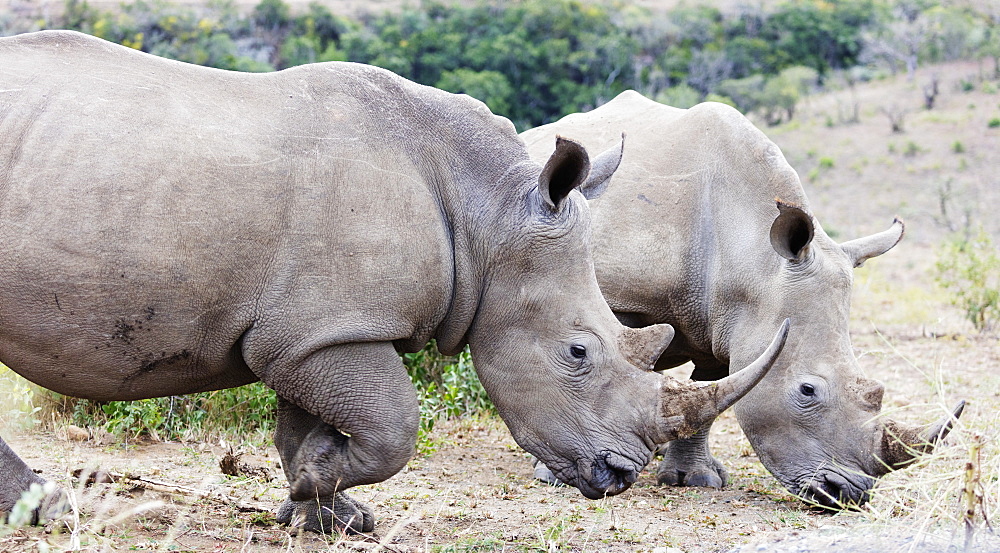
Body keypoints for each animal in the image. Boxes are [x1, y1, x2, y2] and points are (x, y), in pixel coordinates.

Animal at [0, 33, 788, 532]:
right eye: (577, 353)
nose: (621, 474)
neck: (488, 217)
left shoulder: (317, 329)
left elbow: (309, 421)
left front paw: (322, 509)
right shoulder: (325, 332)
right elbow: (393, 426)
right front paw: (317, 486)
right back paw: (50, 514)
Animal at [520, 91, 956, 508]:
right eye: (807, 391)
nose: (849, 494)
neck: (755, 259)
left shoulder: (724, 321)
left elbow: (712, 389)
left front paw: (693, 479)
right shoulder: (619, 295)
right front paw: (555, 474)